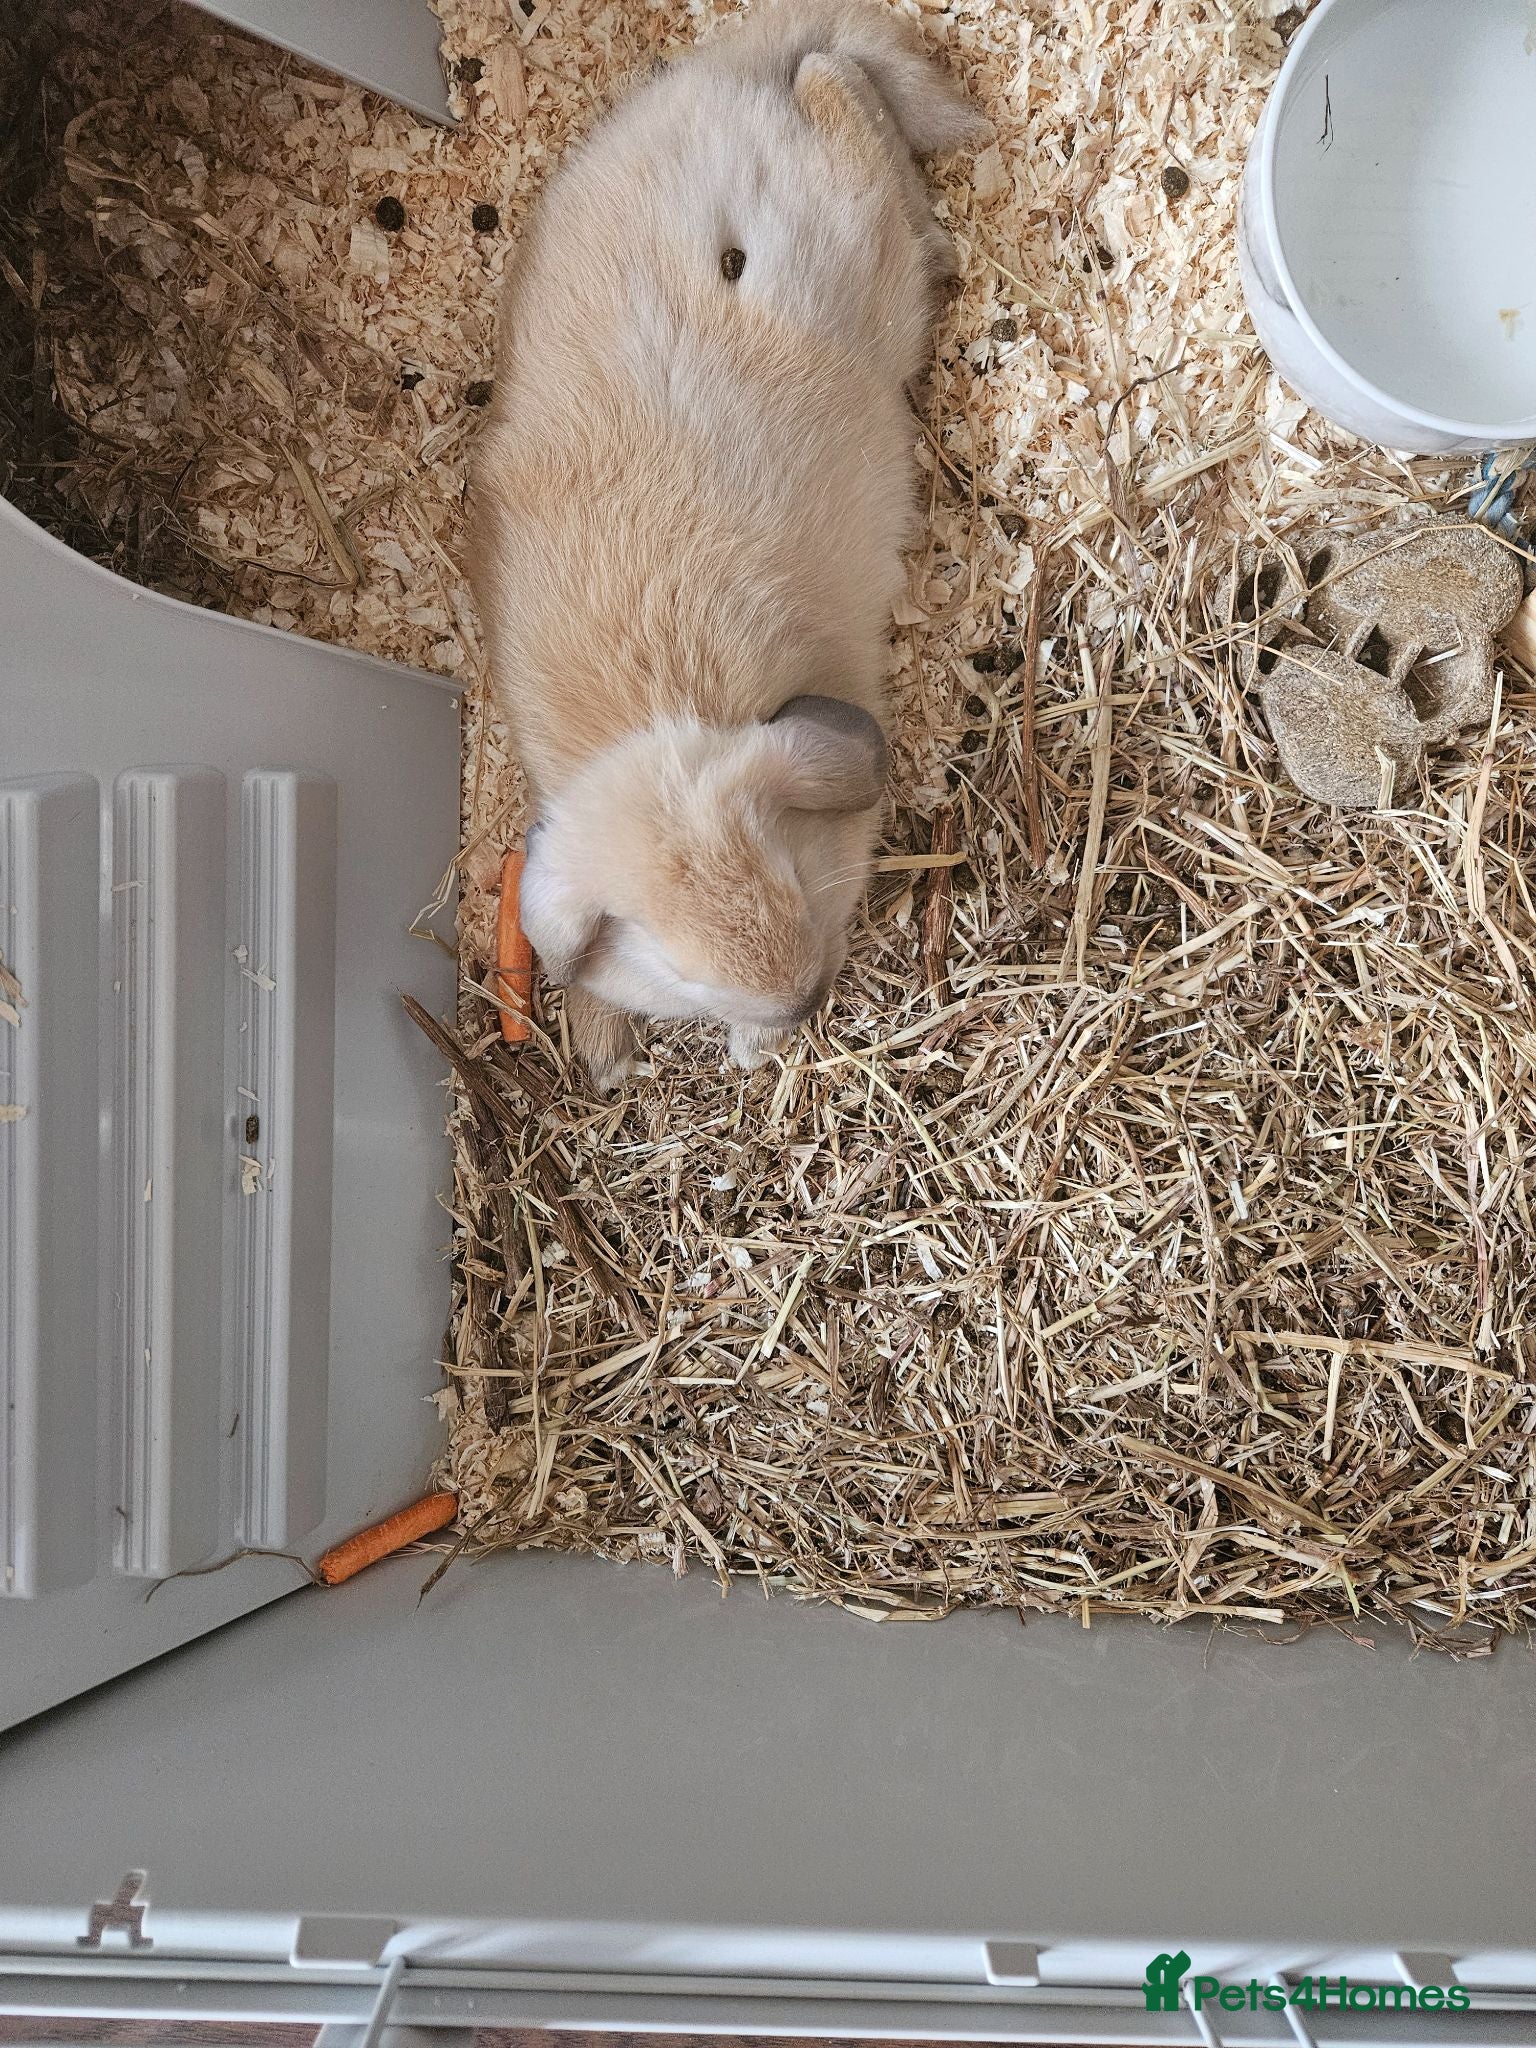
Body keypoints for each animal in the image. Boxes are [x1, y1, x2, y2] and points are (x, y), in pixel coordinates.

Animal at [469, 0, 989, 1088]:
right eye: (681, 968)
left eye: (790, 875)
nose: (797, 1003)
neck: (668, 710)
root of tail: (741, 63)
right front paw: (607, 1047)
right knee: (836, 79)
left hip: (849, 224)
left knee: (841, 92)